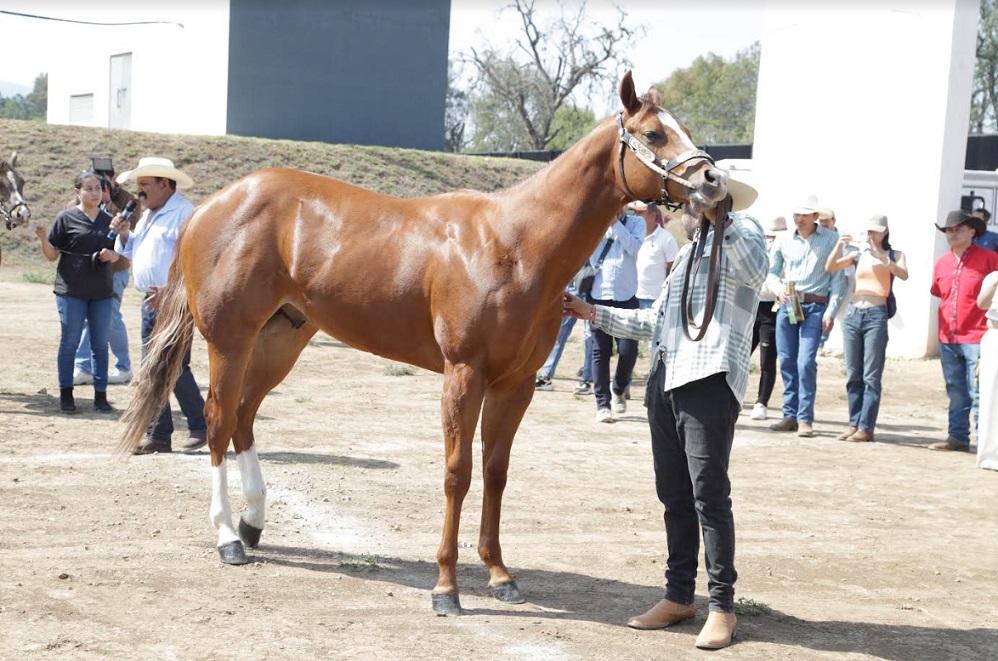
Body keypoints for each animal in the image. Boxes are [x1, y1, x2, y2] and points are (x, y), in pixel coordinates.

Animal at [119, 72, 736, 612]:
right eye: (653, 134)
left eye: (680, 127)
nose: (714, 184)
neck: (516, 244)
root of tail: (208, 206)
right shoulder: (463, 374)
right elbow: (457, 474)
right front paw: (447, 588)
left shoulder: (515, 385)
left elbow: (495, 473)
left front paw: (499, 575)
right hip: (230, 340)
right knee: (219, 421)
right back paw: (228, 536)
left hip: (280, 341)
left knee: (245, 416)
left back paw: (252, 524)